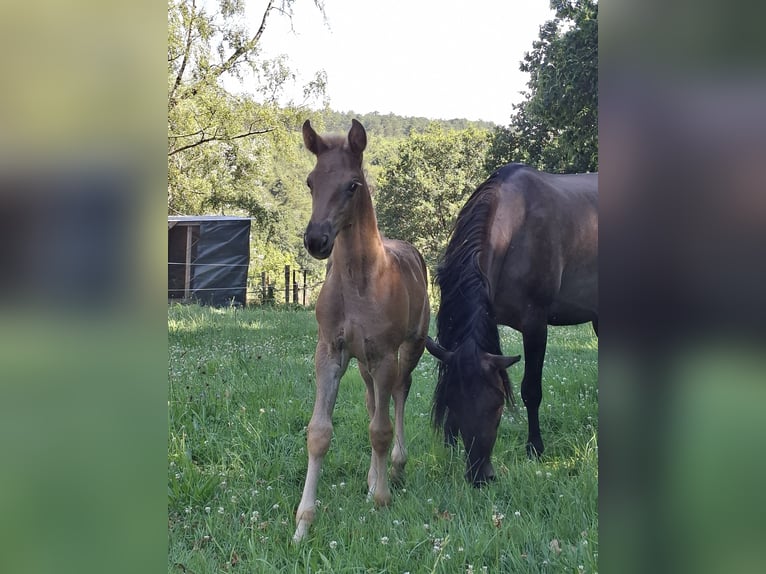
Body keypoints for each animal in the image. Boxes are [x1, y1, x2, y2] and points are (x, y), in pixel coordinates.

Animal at [293, 119, 430, 542]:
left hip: (411, 347)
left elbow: (381, 430)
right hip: (364, 362)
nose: (316, 239)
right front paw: (302, 523)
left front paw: (382, 499)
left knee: (399, 394)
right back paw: (373, 478)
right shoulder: (330, 351)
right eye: (311, 181)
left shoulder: (384, 354)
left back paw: (396, 467)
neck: (359, 280)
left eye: (352, 184)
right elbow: (319, 432)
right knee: (374, 402)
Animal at [425, 163, 598, 485]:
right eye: (454, 402)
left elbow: (531, 390)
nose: (480, 476)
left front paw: (535, 448)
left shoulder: (535, 325)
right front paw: (449, 445)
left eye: (498, 405)